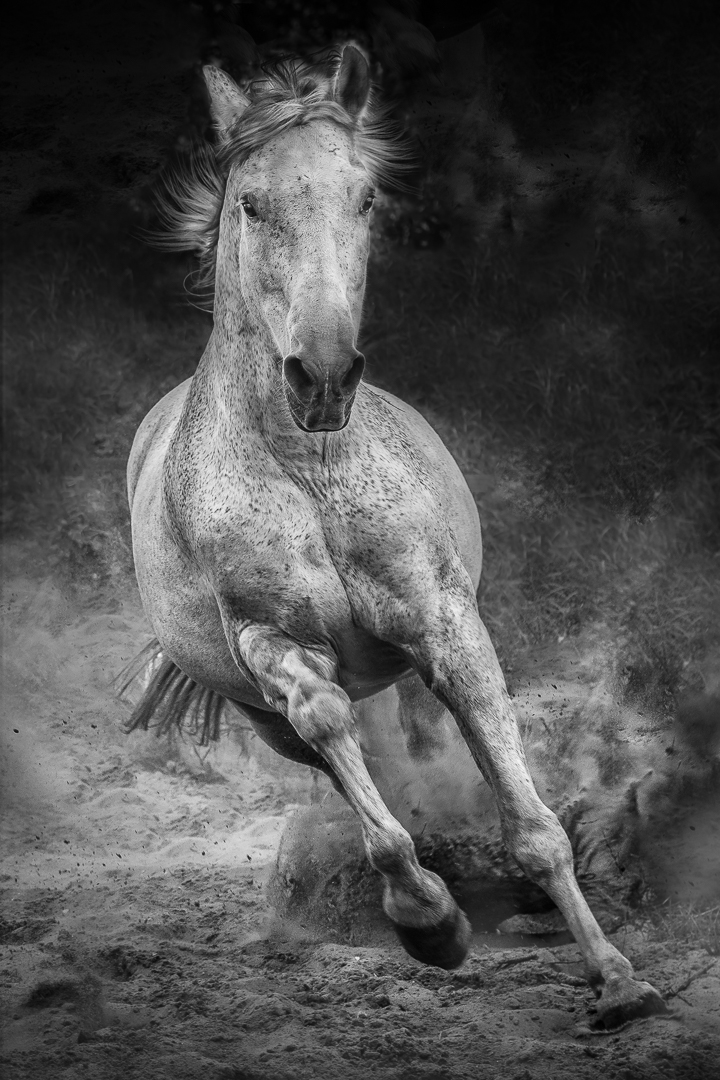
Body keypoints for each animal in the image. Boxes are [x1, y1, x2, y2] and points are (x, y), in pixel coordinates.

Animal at [125, 45, 666, 1028]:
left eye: (365, 197)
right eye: (250, 202)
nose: (323, 374)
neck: (310, 464)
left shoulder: (446, 625)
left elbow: (534, 826)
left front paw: (617, 983)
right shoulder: (276, 646)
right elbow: (340, 744)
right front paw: (431, 923)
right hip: (267, 717)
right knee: (348, 752)